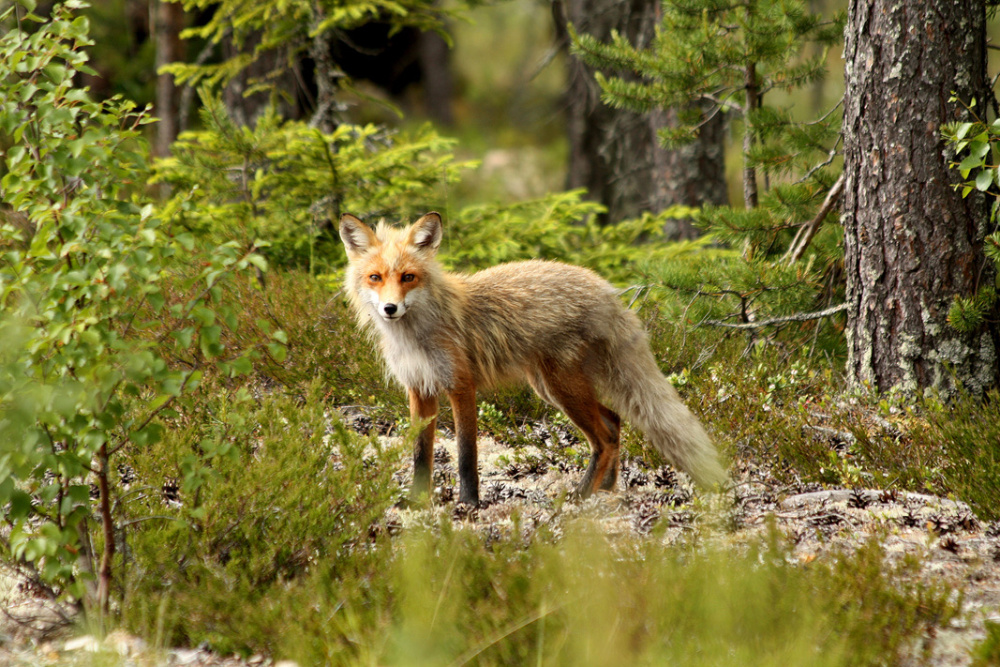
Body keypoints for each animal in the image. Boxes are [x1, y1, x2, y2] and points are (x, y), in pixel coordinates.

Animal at [340, 211, 724, 504]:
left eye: (408, 277)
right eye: (375, 277)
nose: (390, 308)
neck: (415, 336)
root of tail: (606, 290)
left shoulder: (461, 386)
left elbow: (466, 456)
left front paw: (469, 504)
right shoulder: (419, 390)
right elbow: (420, 456)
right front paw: (417, 503)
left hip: (562, 388)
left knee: (603, 438)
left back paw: (580, 495)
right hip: (552, 388)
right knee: (615, 421)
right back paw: (606, 489)